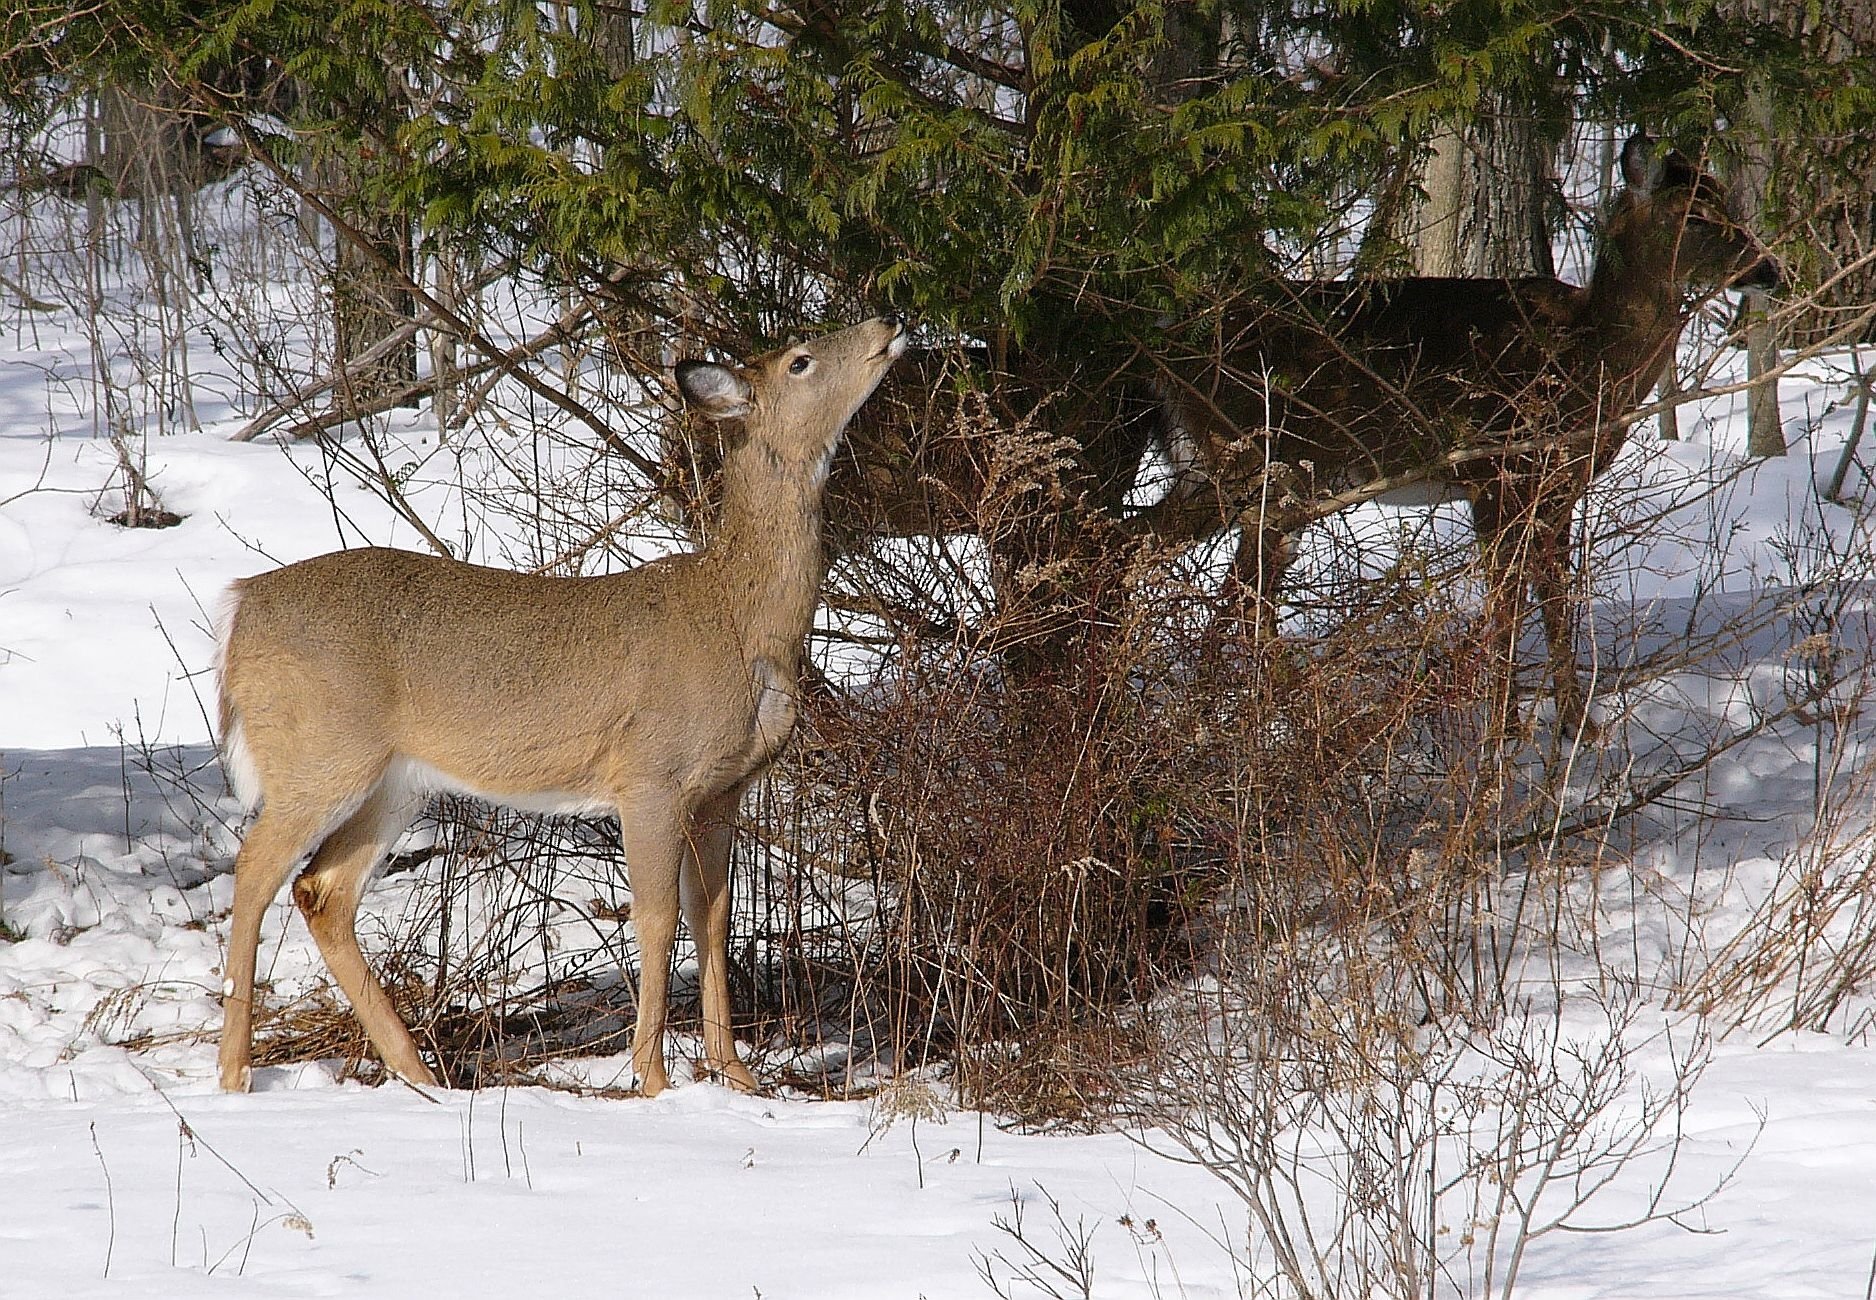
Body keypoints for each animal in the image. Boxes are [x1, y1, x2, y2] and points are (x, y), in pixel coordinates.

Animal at [215, 309, 911, 1088]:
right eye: (800, 361)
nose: (888, 321)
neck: (739, 618)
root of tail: (241, 609)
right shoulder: (650, 774)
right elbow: (657, 918)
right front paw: (652, 1079)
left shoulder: (724, 787)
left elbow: (713, 916)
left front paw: (735, 1076)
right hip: (320, 753)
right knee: (254, 874)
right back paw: (235, 1072)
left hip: (396, 781)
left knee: (323, 891)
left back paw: (421, 1076)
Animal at [1148, 137, 1778, 735]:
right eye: (1696, 215)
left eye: (1729, 202)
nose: (1770, 270)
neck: (1585, 357)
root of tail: (1167, 354)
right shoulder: (1497, 476)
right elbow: (1508, 604)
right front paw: (1505, 730)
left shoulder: (1559, 490)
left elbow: (1555, 599)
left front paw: (1576, 723)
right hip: (1258, 461)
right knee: (1229, 581)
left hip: (1246, 474)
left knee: (1213, 571)